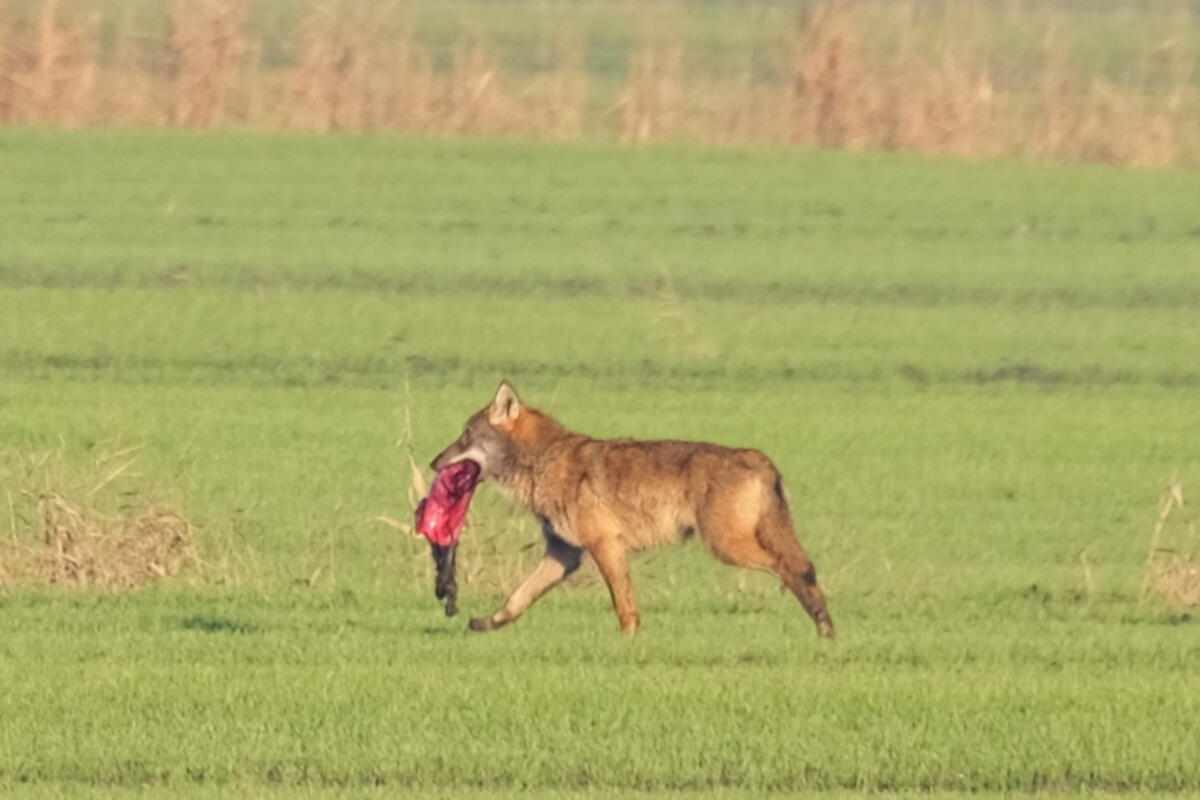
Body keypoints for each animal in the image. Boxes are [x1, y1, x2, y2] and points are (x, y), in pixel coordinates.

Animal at [431, 381, 835, 638]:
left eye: (465, 435)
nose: (434, 462)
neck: (545, 461)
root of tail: (759, 458)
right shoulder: (564, 555)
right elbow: (516, 599)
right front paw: (486, 624)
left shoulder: (605, 545)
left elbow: (623, 605)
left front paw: (627, 642)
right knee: (807, 571)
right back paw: (826, 632)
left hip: (726, 547)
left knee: (796, 571)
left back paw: (822, 627)